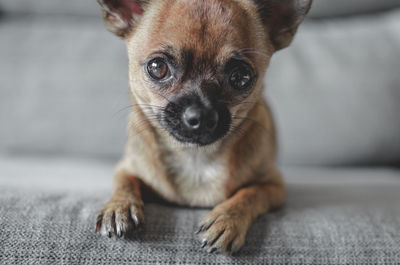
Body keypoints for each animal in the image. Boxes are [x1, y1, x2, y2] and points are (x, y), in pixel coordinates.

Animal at [95, 0, 310, 254]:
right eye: (157, 67)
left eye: (241, 77)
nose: (200, 114)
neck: (195, 157)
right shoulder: (126, 168)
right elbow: (125, 181)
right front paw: (120, 207)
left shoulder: (274, 186)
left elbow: (251, 193)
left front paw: (227, 219)